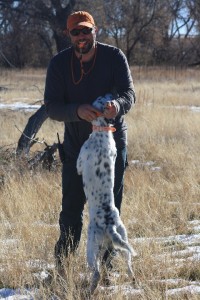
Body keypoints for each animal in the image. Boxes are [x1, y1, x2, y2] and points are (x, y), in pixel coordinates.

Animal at [76, 94, 136, 292]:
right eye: (104, 97)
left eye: (99, 98)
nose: (112, 95)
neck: (102, 130)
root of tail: (109, 225)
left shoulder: (80, 161)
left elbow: (78, 166)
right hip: (122, 241)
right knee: (129, 265)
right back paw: (133, 280)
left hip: (90, 247)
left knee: (96, 272)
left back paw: (90, 289)